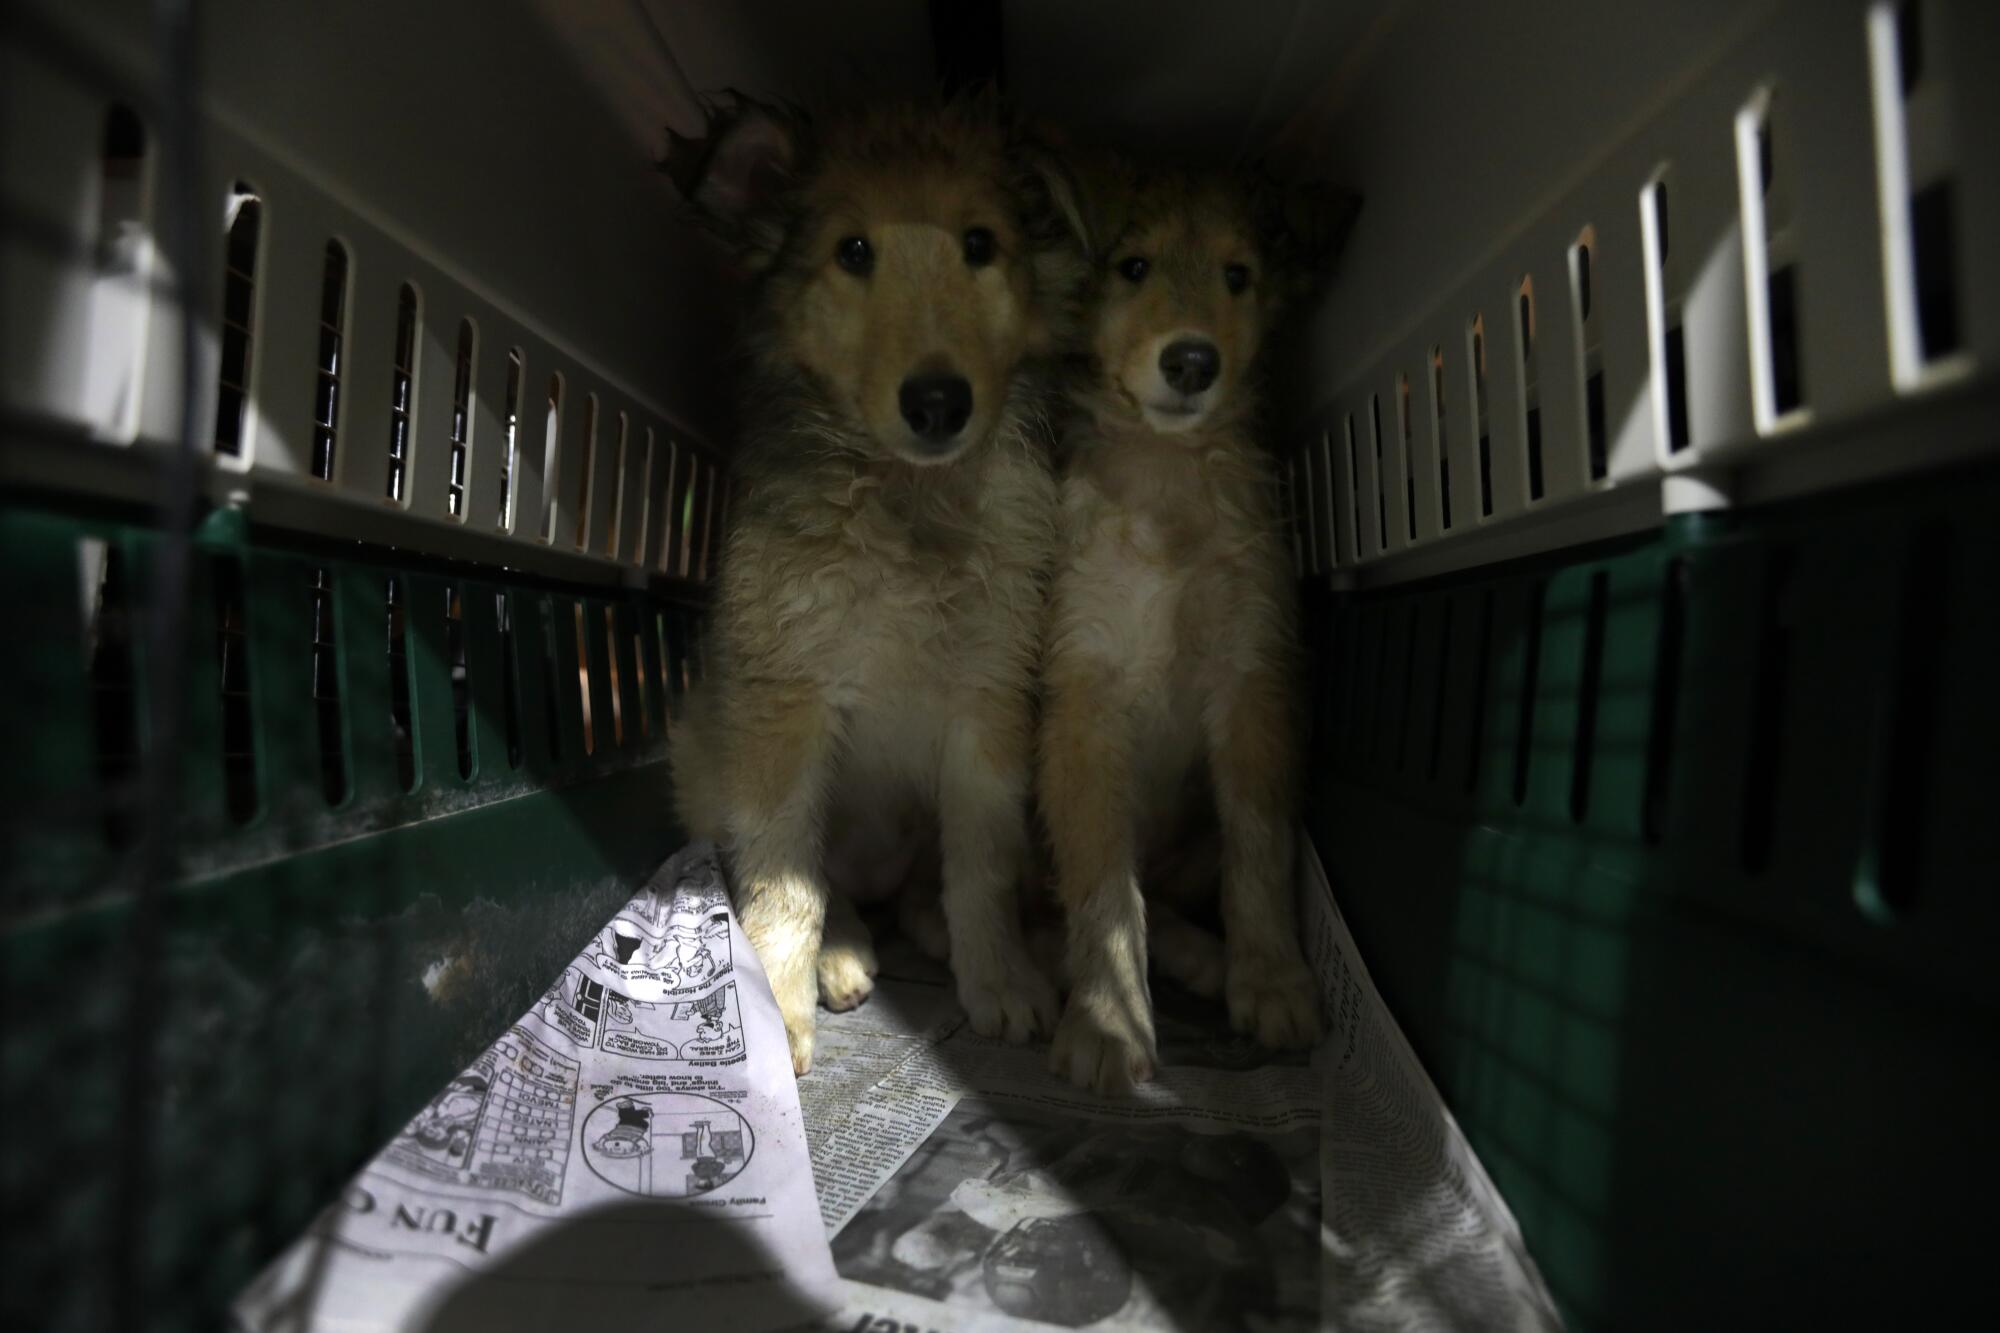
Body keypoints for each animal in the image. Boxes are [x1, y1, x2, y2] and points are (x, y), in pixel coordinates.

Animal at [664, 93, 1088, 1072]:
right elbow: (785, 881)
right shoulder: (783, 699)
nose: (938, 403)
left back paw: (928, 926)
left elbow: (982, 865)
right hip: (701, 744)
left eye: (980, 243)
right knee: (820, 883)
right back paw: (845, 954)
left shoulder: (990, 697)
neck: (908, 499)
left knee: (923, 885)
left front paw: (999, 976)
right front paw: (777, 1017)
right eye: (853, 250)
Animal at [1040, 163, 1352, 1088]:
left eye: (1238, 275)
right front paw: (1107, 1017)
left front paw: (1273, 977)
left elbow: (1260, 848)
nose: (1190, 360)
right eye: (1133, 266)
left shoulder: (1253, 678)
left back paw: (1207, 962)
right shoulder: (1084, 694)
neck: (1165, 480)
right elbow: (1103, 884)